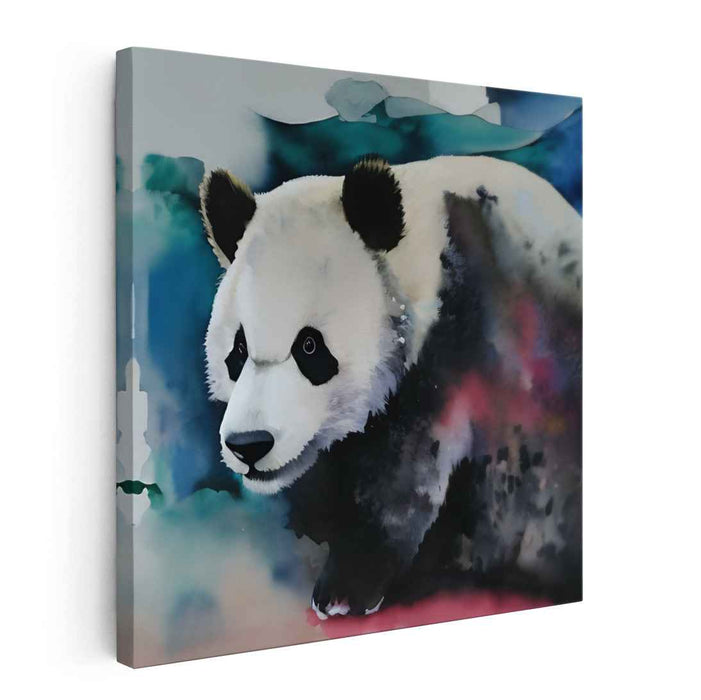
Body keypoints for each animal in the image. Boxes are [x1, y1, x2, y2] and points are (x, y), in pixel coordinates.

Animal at [200, 155, 582, 619]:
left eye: (309, 346)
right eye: (238, 349)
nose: (249, 445)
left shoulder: (461, 344)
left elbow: (406, 476)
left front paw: (344, 589)